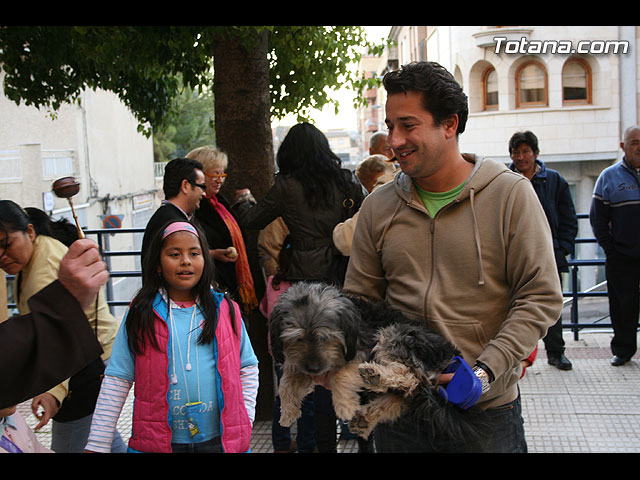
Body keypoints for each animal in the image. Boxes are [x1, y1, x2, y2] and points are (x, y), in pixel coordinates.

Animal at [268, 282, 484, 442]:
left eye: (324, 338)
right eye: (298, 338)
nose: (313, 368)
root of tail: (448, 358)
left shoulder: (360, 352)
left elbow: (340, 374)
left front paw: (344, 404)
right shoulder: (305, 363)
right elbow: (287, 380)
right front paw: (287, 411)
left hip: (395, 335)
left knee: (409, 378)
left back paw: (376, 375)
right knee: (402, 395)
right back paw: (365, 416)